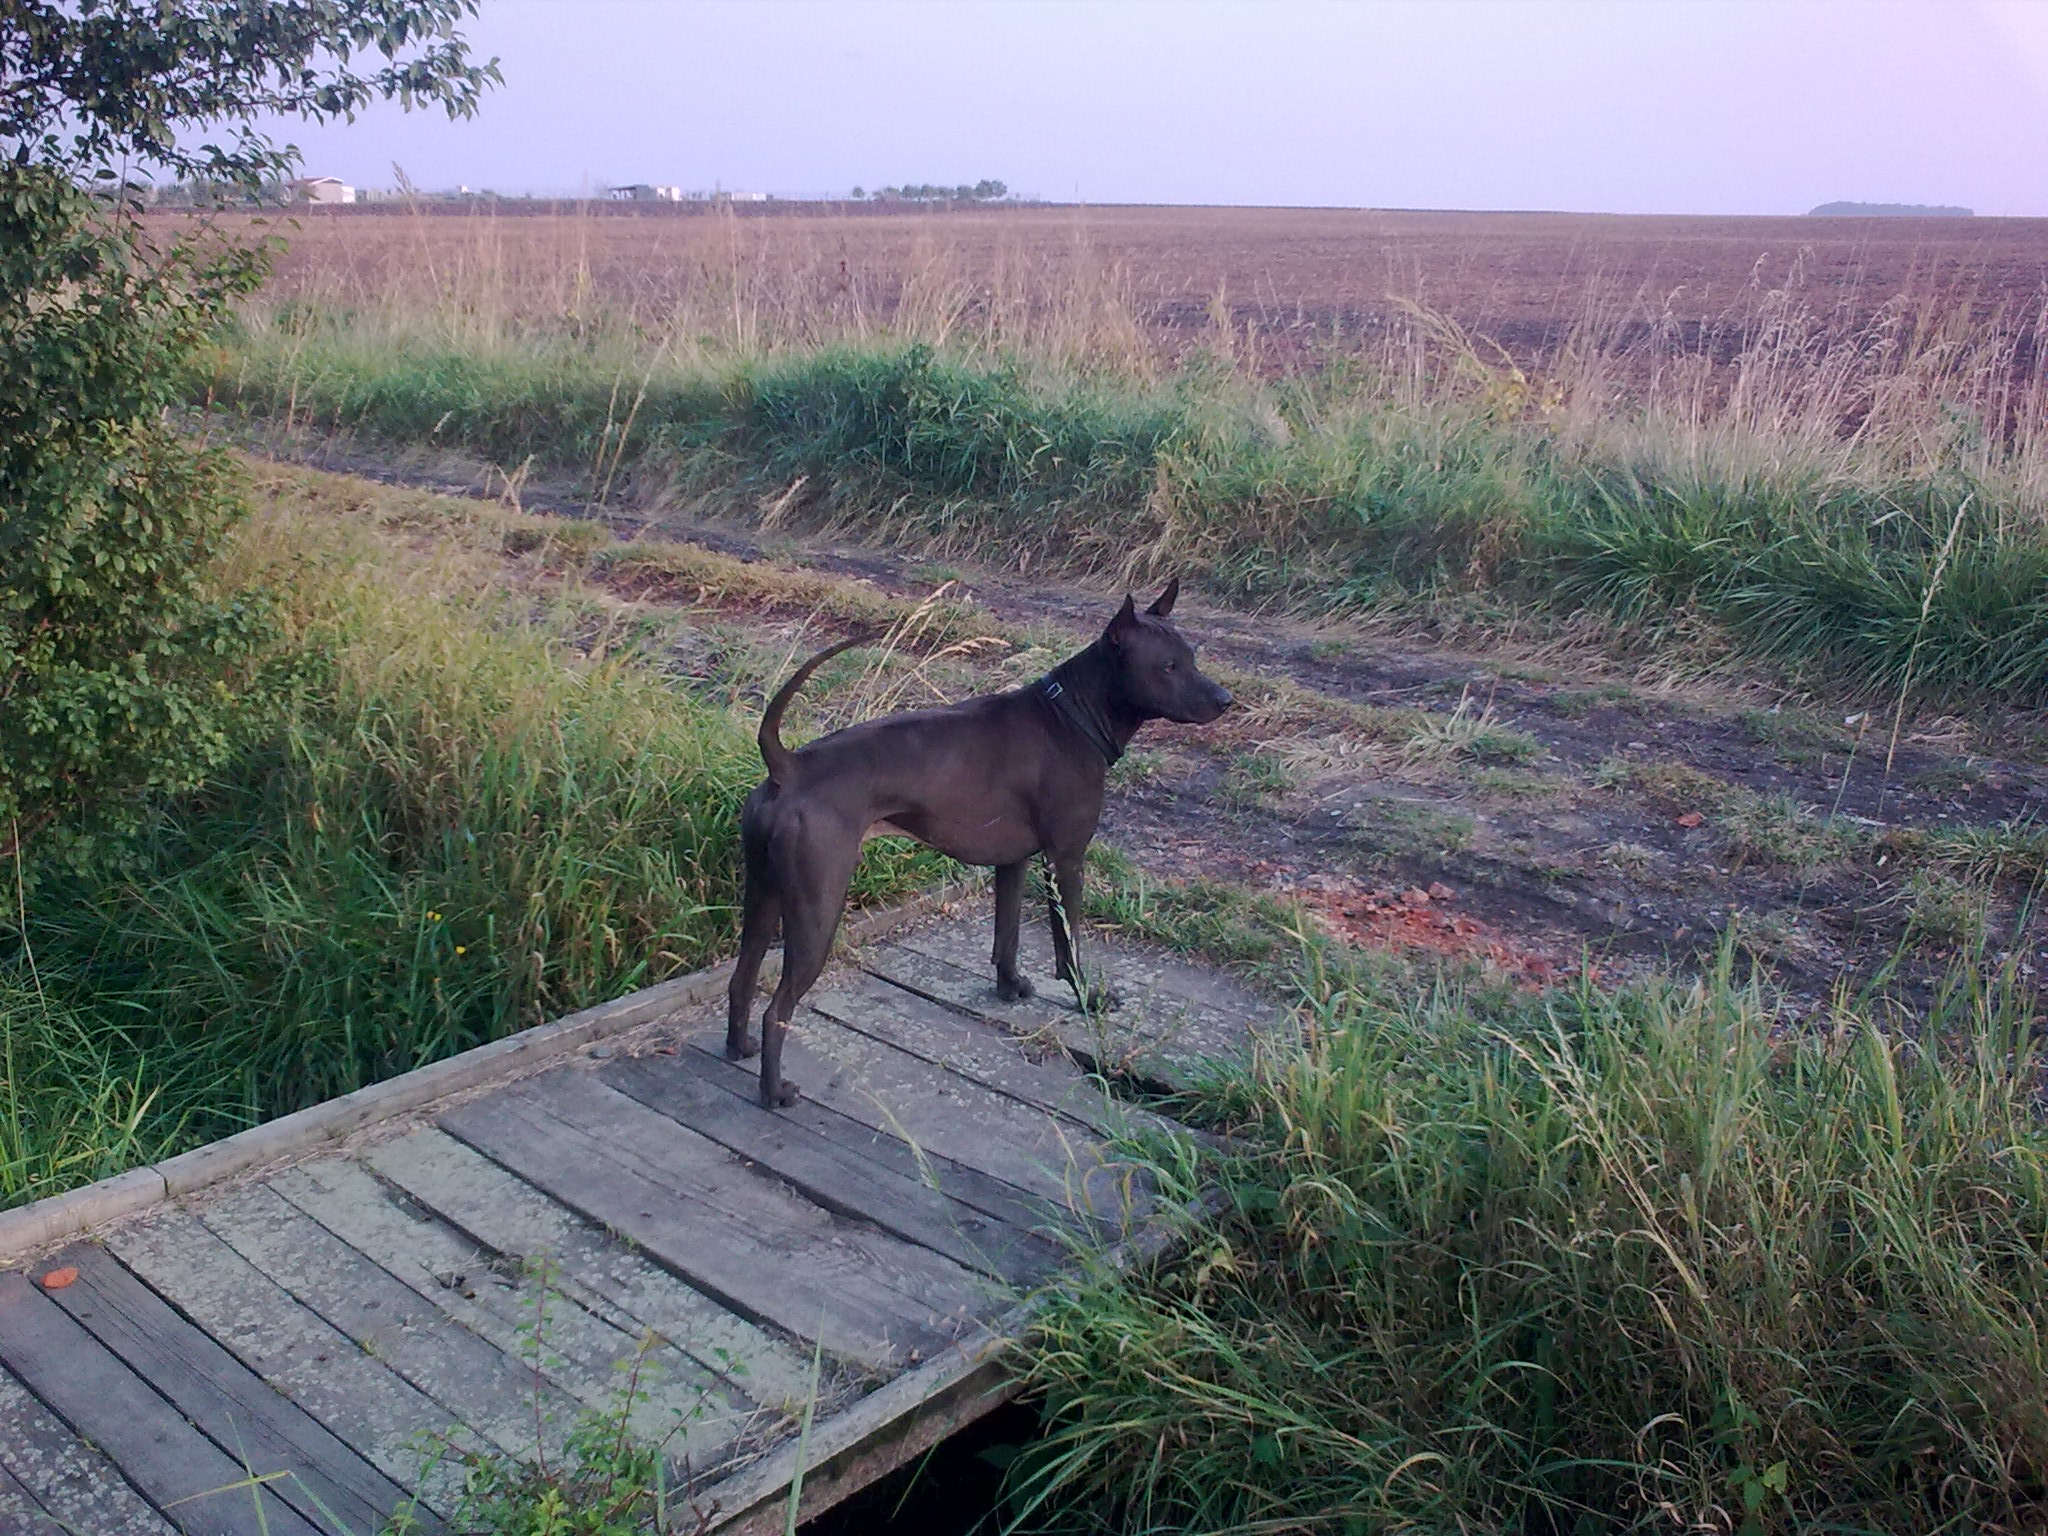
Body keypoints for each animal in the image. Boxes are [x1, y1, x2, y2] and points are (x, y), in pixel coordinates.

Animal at [724, 581, 1228, 1105]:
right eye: (1168, 666)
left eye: (1192, 658)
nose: (1226, 699)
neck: (1071, 717)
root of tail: (787, 766)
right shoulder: (1066, 860)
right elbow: (1068, 947)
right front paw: (1088, 998)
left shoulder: (1014, 863)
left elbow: (1007, 935)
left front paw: (1010, 987)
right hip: (816, 911)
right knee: (777, 1008)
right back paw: (774, 1090)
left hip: (763, 896)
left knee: (741, 982)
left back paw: (739, 1047)